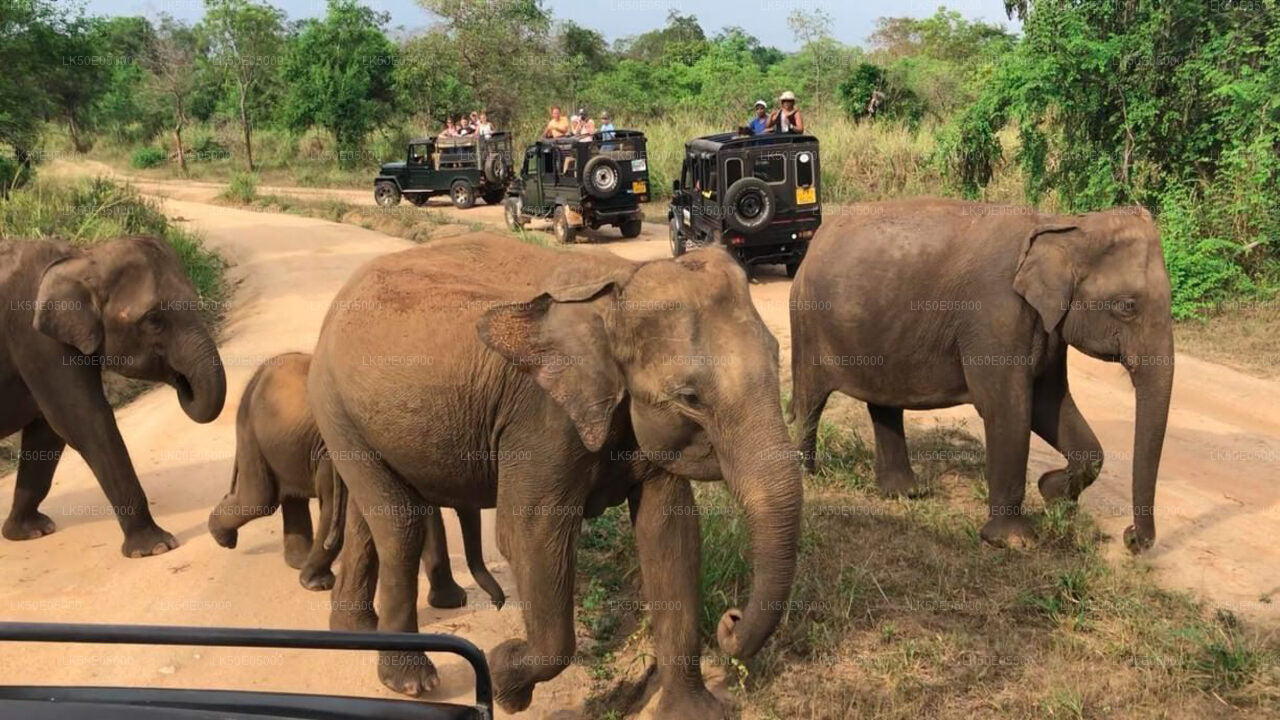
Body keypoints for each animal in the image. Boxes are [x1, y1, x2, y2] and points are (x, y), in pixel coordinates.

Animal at [0, 234, 227, 556]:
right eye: (154, 320)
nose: (182, 380)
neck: (83, 258)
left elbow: (47, 432)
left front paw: (29, 531)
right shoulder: (34, 337)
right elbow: (83, 421)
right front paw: (156, 547)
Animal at [207, 353, 501, 604]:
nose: (497, 602)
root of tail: (257, 374)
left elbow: (425, 512)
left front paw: (452, 601)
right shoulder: (336, 451)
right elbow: (334, 506)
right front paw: (317, 585)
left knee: (289, 497)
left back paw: (297, 561)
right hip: (249, 432)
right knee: (260, 500)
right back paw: (223, 538)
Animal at [308, 234, 798, 712]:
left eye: (778, 358)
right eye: (690, 397)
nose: (730, 620)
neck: (618, 287)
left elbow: (670, 532)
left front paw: (691, 712)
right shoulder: (541, 418)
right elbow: (530, 533)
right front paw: (503, 679)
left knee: (373, 517)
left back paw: (354, 629)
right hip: (336, 405)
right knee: (399, 525)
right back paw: (411, 681)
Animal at [788, 197, 1172, 548]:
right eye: (1127, 306)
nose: (1132, 538)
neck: (1063, 225)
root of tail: (812, 246)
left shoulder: (1047, 327)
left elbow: (1049, 405)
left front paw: (1051, 493)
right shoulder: (995, 316)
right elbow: (1008, 409)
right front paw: (1014, 541)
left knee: (884, 404)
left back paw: (905, 494)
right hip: (808, 320)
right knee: (810, 400)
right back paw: (809, 477)